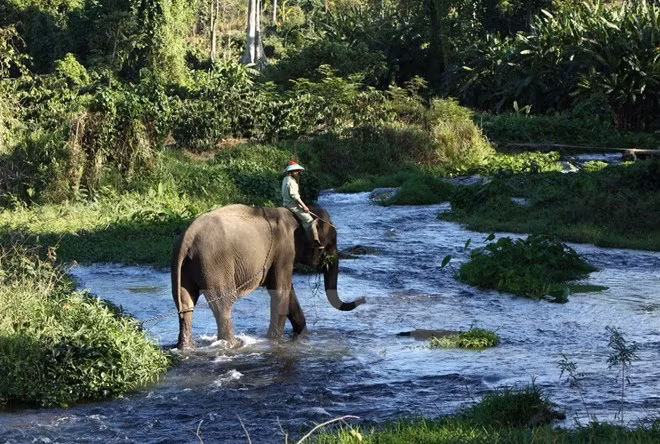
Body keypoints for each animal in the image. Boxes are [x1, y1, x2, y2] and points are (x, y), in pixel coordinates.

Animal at [171, 204, 366, 349]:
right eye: (331, 243)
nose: (362, 299)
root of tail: (188, 236)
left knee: (185, 304)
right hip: (214, 263)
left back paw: (186, 347)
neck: (296, 215)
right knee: (223, 304)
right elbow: (280, 292)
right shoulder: (285, 249)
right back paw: (234, 344)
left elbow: (289, 293)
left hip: (183, 266)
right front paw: (273, 341)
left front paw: (301, 334)